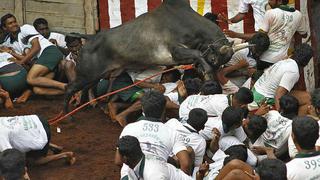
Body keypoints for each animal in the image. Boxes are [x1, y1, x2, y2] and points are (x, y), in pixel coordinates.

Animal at [65, 0, 239, 112]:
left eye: (220, 64)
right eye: (213, 58)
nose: (213, 74)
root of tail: (91, 37)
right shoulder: (176, 51)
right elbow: (197, 55)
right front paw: (207, 74)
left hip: (97, 75)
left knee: (87, 88)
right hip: (86, 74)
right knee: (69, 88)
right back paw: (68, 116)